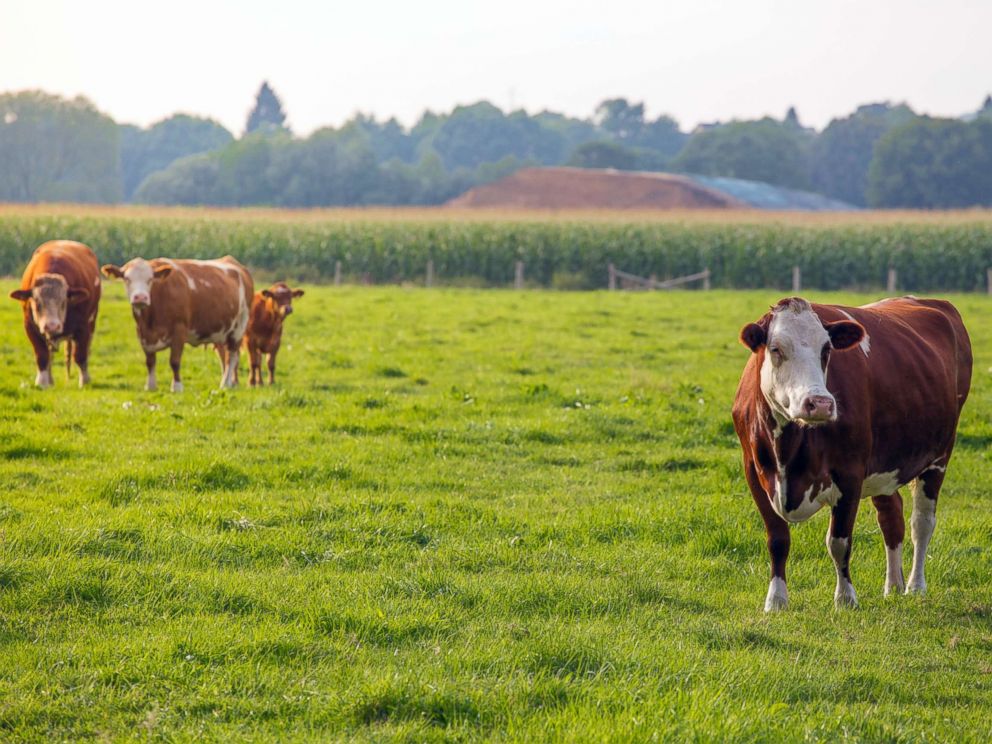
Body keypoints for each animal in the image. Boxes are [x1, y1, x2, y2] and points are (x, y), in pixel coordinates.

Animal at [7, 240, 101, 390]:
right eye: (37, 303)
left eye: (63, 301)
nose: (52, 326)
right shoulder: (29, 327)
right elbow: (42, 356)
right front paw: (42, 383)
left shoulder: (83, 328)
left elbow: (80, 355)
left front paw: (85, 381)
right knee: (49, 354)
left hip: (92, 322)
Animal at [100, 258, 252, 392]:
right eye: (127, 279)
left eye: (150, 279)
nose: (140, 297)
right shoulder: (143, 335)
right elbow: (150, 361)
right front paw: (150, 386)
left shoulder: (179, 330)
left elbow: (174, 361)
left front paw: (177, 387)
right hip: (221, 332)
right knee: (224, 355)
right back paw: (229, 383)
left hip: (239, 328)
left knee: (231, 357)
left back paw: (225, 384)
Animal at [732, 296, 972, 612]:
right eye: (776, 349)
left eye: (826, 349)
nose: (820, 403)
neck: (789, 449)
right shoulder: (755, 472)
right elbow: (777, 539)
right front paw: (776, 600)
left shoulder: (850, 473)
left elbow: (839, 541)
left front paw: (846, 598)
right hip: (884, 465)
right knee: (891, 518)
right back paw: (892, 586)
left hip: (939, 456)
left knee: (921, 523)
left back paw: (914, 586)